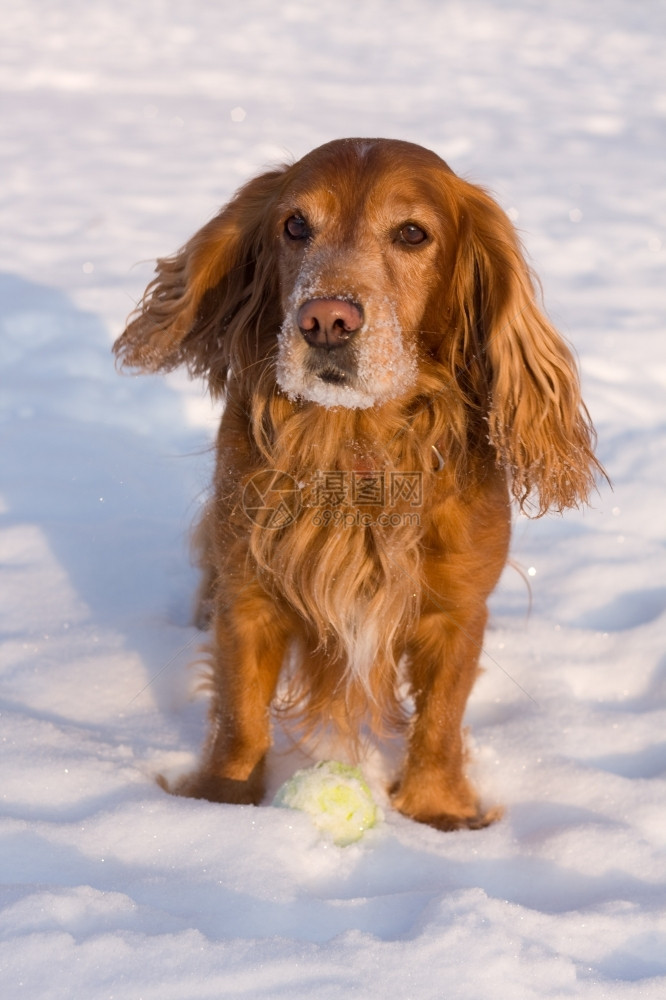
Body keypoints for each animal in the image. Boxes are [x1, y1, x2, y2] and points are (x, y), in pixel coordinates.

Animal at [115, 139, 600, 828]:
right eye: (295, 225)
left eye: (412, 233)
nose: (325, 319)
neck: (355, 444)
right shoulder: (251, 593)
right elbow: (241, 713)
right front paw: (225, 805)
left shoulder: (455, 610)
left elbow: (440, 718)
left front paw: (437, 812)